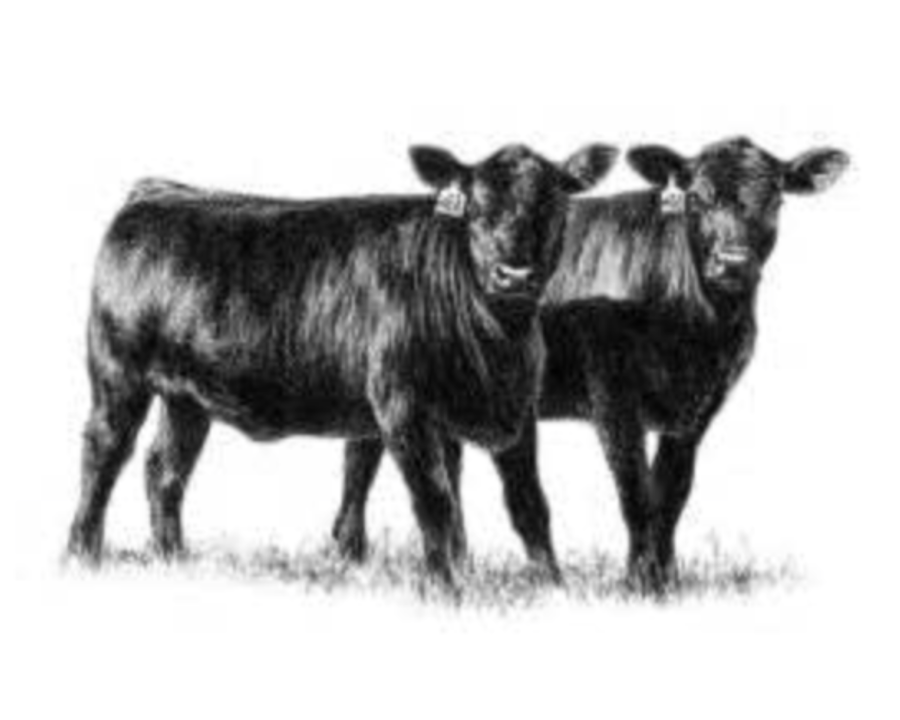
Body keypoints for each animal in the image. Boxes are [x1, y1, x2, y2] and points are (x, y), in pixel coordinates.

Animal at [66, 143, 618, 589]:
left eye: (553, 204)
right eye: (476, 209)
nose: (514, 274)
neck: (498, 342)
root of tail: (157, 192)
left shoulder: (516, 409)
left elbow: (528, 504)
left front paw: (551, 586)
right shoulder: (404, 409)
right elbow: (435, 502)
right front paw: (447, 588)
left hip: (187, 397)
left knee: (165, 468)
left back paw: (173, 559)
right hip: (118, 373)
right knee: (104, 451)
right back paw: (80, 555)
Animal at [332, 137, 849, 592]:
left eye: (775, 200)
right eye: (698, 198)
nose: (734, 264)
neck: (697, 327)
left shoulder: (699, 408)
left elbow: (672, 493)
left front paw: (668, 579)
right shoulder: (613, 394)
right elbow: (637, 494)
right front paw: (641, 583)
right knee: (366, 458)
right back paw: (351, 554)